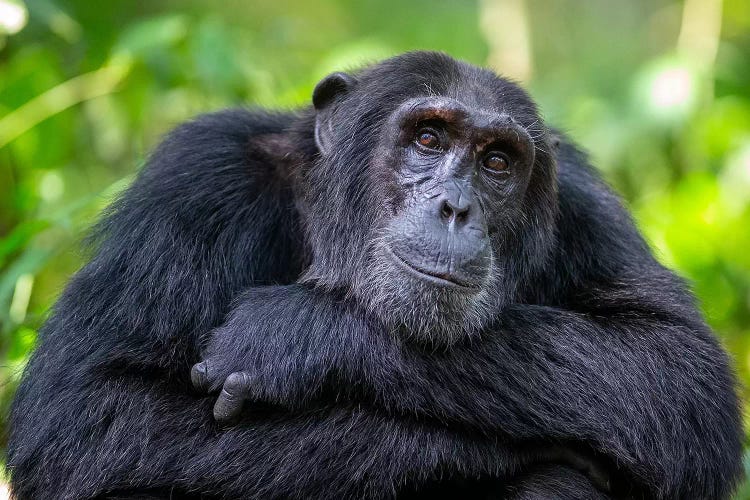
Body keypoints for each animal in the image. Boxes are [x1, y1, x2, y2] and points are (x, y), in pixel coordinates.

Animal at [7, 51, 748, 500]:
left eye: (498, 161)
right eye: (427, 138)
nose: (456, 206)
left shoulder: (584, 204)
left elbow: (674, 370)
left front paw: (300, 333)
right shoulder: (197, 179)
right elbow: (92, 411)